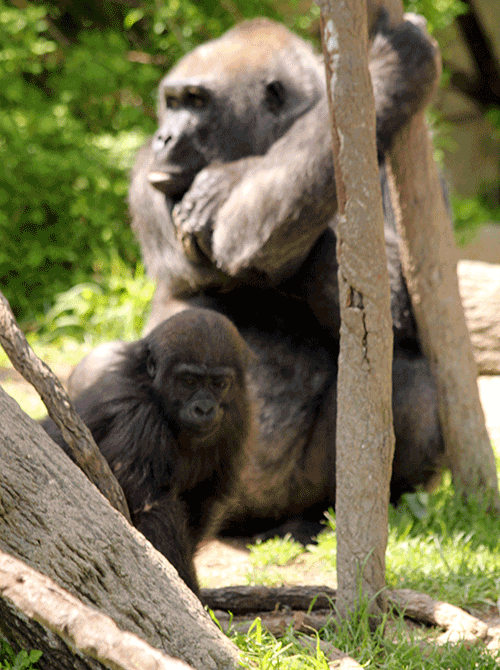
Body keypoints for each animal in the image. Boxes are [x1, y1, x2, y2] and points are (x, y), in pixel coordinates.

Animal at [42, 308, 252, 596]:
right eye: (188, 381)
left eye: (219, 383)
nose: (204, 408)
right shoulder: (138, 415)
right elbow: (153, 511)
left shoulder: (235, 419)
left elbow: (201, 503)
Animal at [69, 13, 442, 544]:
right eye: (172, 102)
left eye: (196, 102)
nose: (163, 137)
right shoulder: (147, 171)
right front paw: (387, 68)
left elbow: (405, 297)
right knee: (100, 367)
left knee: (411, 377)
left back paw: (343, 515)